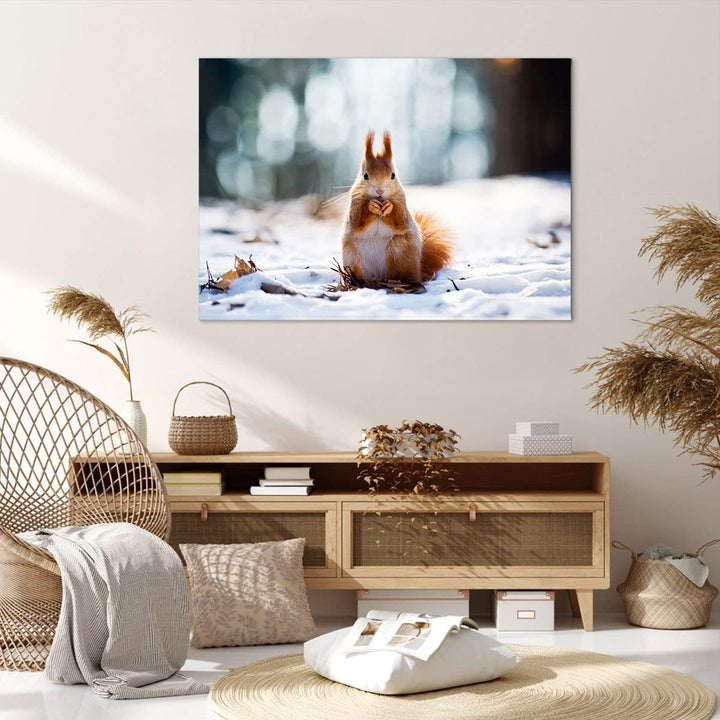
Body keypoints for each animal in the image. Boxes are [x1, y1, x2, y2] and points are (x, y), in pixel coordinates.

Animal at [341, 130, 453, 285]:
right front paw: (371, 206)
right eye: (365, 175)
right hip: (352, 257)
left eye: (393, 175)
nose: (380, 191)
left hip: (399, 251)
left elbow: (400, 221)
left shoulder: (402, 204)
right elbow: (356, 222)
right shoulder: (354, 204)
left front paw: (389, 207)